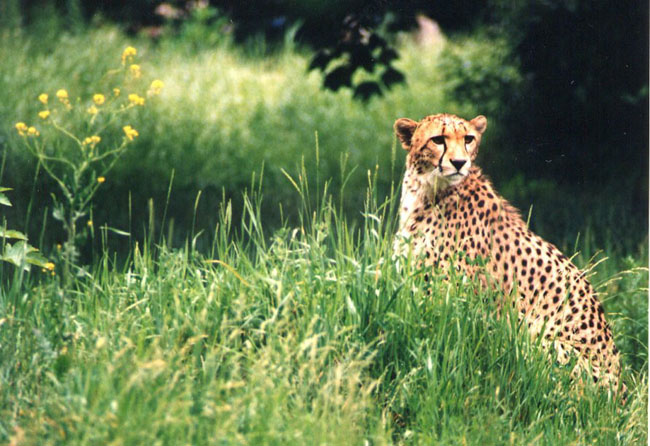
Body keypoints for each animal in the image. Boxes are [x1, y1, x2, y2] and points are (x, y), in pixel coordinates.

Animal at [393, 112, 624, 396]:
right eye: (438, 139)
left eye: (468, 139)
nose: (459, 163)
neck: (427, 189)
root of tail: (622, 392)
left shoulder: (452, 299)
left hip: (536, 336)